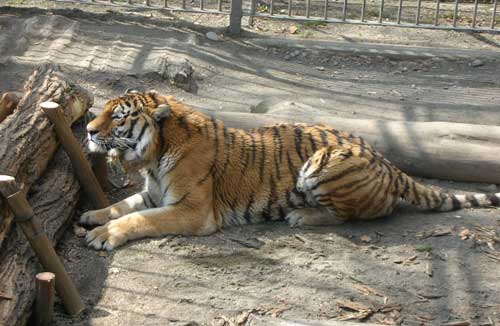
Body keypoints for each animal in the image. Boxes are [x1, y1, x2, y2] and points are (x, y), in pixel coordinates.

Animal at [80, 90, 500, 251]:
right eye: (103, 111)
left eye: (117, 117)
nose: (87, 130)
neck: (154, 156)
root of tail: (388, 162)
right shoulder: (153, 192)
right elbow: (122, 206)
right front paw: (92, 216)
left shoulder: (193, 210)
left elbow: (138, 219)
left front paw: (103, 235)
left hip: (322, 163)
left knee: (356, 215)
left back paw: (301, 216)